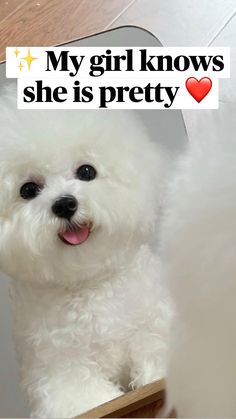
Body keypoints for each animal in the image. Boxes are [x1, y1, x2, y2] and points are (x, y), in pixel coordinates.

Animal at [0, 87, 170, 418]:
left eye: (87, 171)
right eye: (28, 190)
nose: (65, 204)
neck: (88, 281)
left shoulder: (153, 324)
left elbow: (156, 350)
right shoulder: (60, 368)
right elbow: (85, 396)